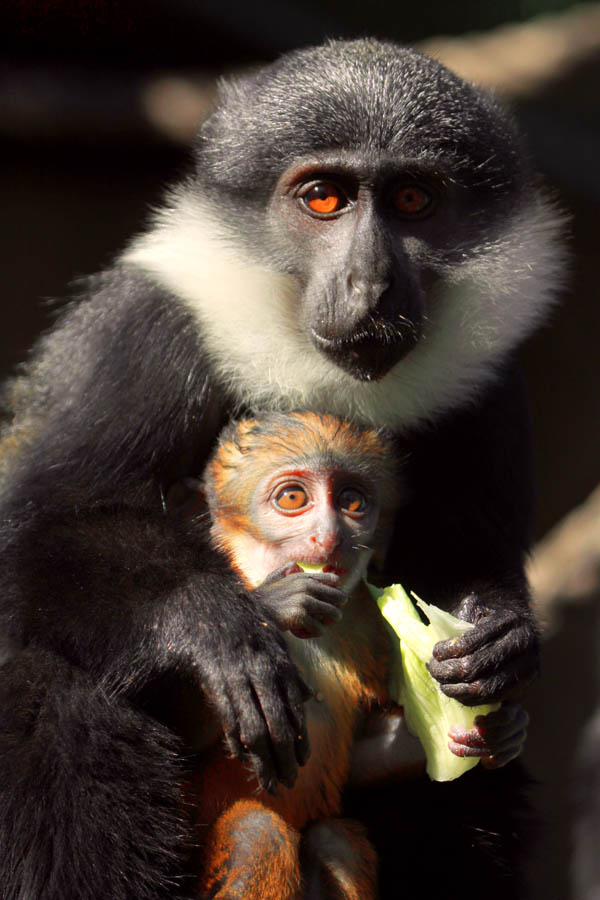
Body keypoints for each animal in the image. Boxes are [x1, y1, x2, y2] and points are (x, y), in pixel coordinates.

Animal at [0, 39, 561, 900]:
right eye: (324, 198)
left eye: (411, 198)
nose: (369, 284)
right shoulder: (146, 332)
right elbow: (35, 534)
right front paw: (213, 623)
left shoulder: (489, 385)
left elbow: (471, 560)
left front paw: (500, 637)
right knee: (45, 679)